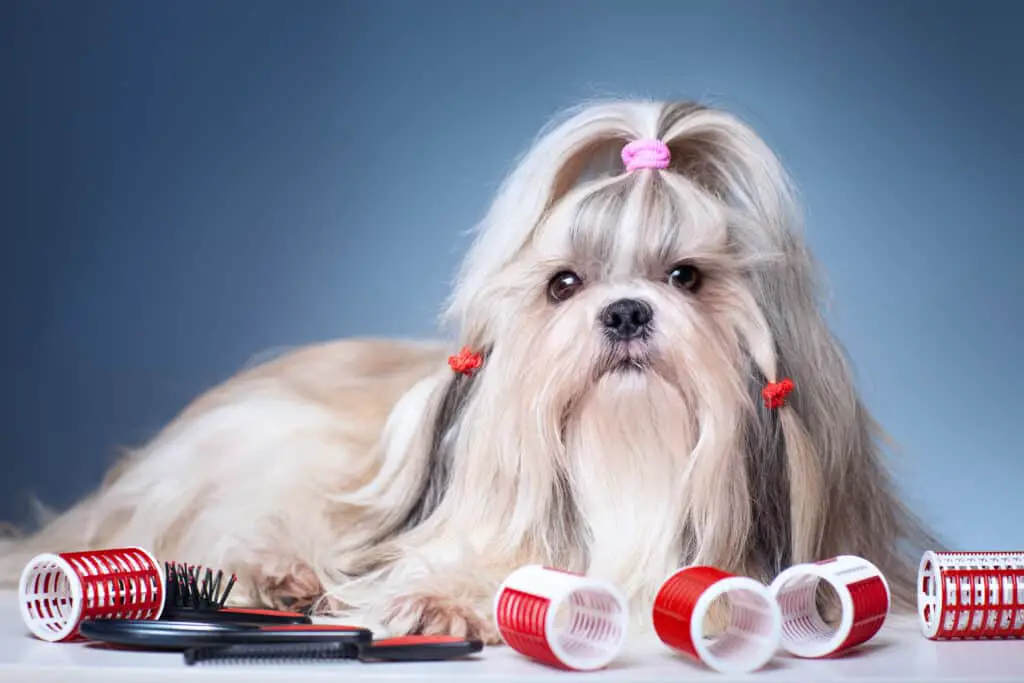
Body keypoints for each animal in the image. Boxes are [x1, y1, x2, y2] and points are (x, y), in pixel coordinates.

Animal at [0, 100, 937, 643]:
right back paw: (281, 574)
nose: (626, 312)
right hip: (271, 452)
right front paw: (446, 598)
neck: (630, 466)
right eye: (565, 283)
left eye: (686, 277)